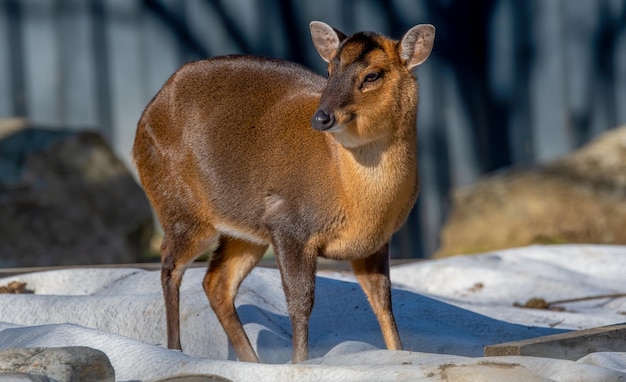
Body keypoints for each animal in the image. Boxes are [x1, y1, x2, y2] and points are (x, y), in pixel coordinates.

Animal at [132, 20, 434, 364]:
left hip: (245, 228)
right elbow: (301, 303)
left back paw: (252, 361)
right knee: (170, 266)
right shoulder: (289, 224)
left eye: (373, 75)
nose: (321, 117)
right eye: (329, 70)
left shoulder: (375, 243)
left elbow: (384, 304)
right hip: (182, 208)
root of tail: (147, 114)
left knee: (216, 281)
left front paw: (400, 354)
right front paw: (299, 363)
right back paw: (175, 351)